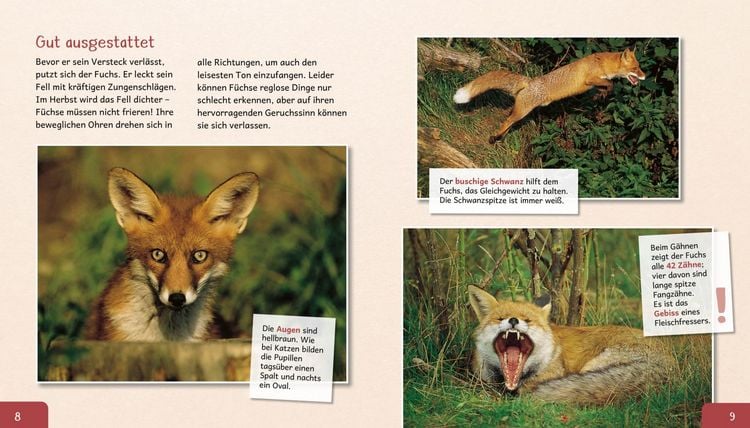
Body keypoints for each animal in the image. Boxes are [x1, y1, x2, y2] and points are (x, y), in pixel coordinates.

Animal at [453, 48, 646, 144]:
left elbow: (605, 86)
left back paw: (499, 137)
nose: (644, 76)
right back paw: (494, 137)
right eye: (636, 69)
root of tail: (530, 81)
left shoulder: (594, 83)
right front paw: (605, 91)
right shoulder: (589, 79)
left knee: (508, 121)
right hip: (522, 112)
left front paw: (601, 95)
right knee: (507, 121)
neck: (602, 64)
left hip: (521, 113)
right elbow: (610, 83)